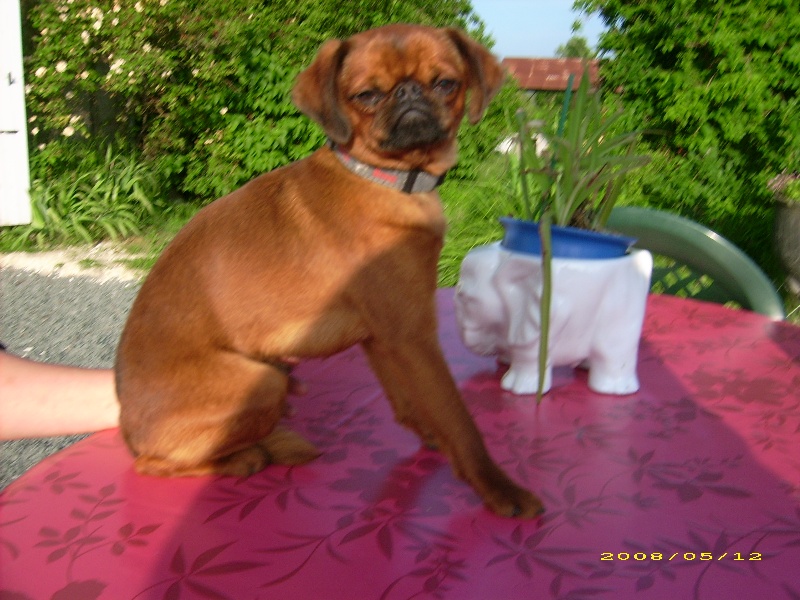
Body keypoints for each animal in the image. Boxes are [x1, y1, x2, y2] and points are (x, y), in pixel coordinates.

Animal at [115, 24, 543, 518]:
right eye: (367, 95)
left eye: (445, 84)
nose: (409, 92)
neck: (381, 179)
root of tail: (129, 429)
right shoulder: (414, 335)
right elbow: (459, 419)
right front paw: (499, 488)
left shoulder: (384, 338)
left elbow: (407, 402)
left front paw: (432, 438)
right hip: (262, 382)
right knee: (152, 464)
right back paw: (248, 455)